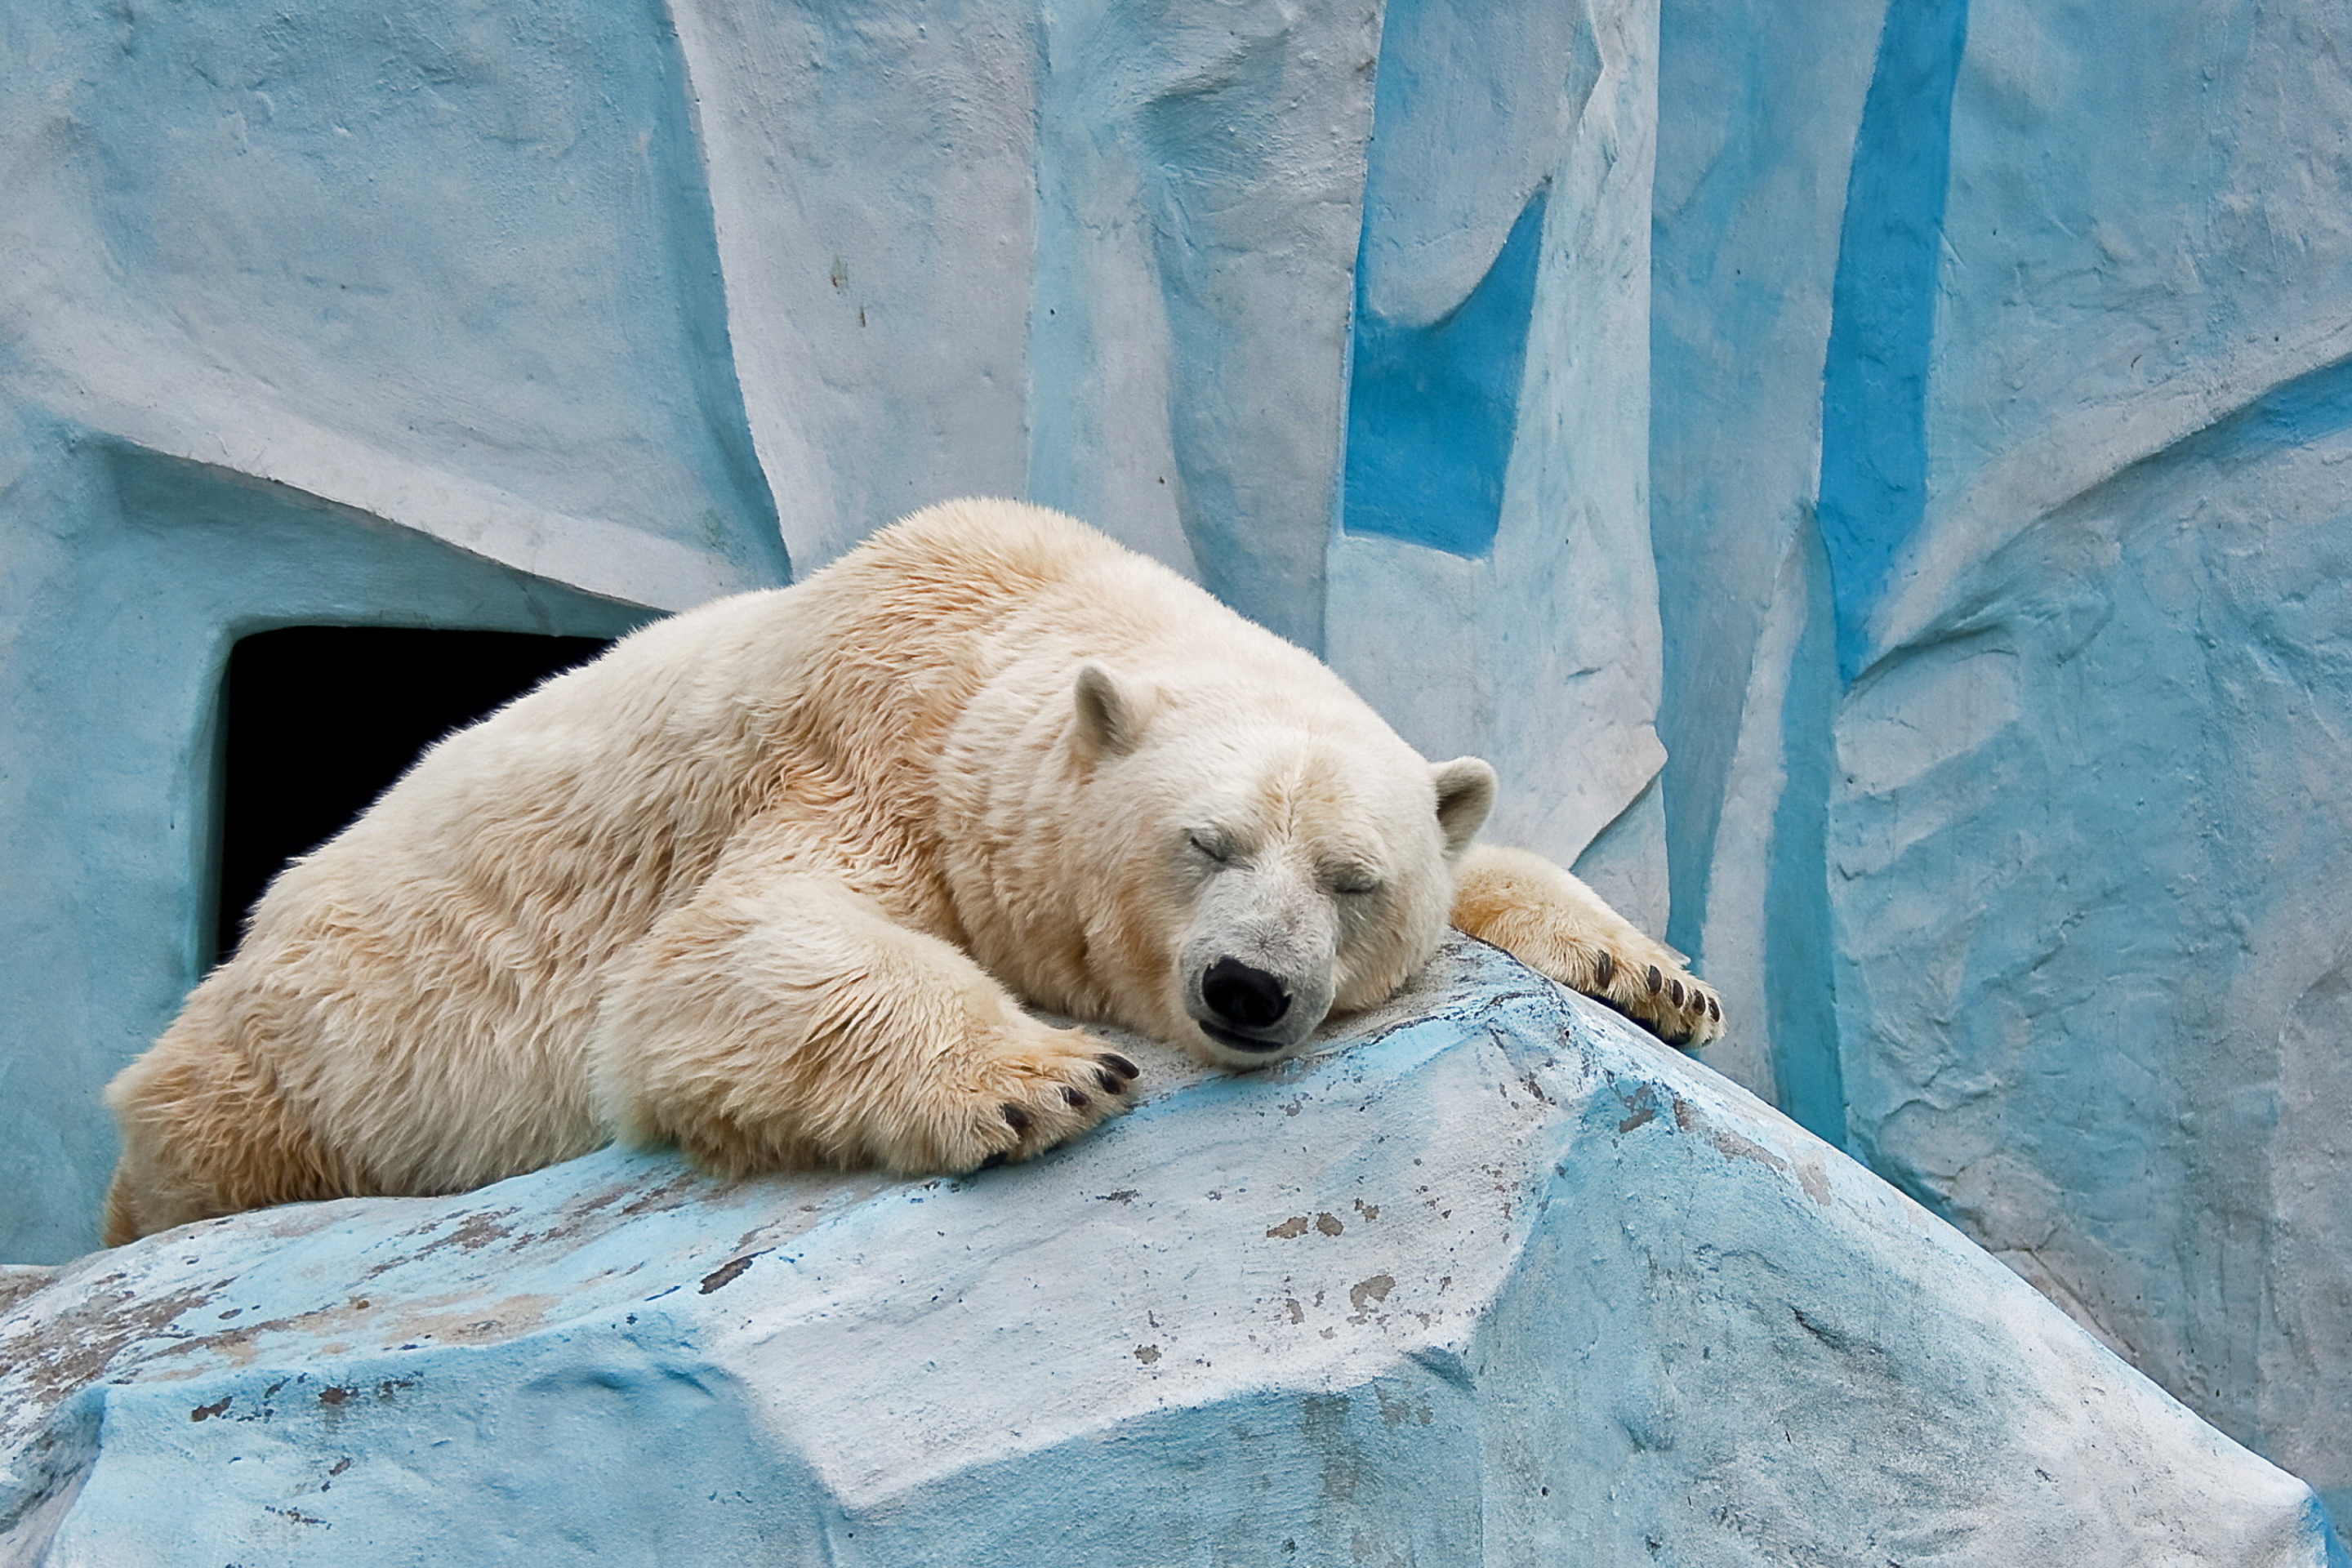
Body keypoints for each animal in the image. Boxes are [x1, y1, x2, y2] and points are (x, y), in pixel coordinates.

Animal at [100, 496, 1722, 1241]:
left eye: (1351, 878)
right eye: (1205, 842)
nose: (1250, 991)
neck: (1015, 616)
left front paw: (1656, 976)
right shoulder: (862, 751)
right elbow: (719, 956)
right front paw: (1043, 1076)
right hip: (293, 1065)